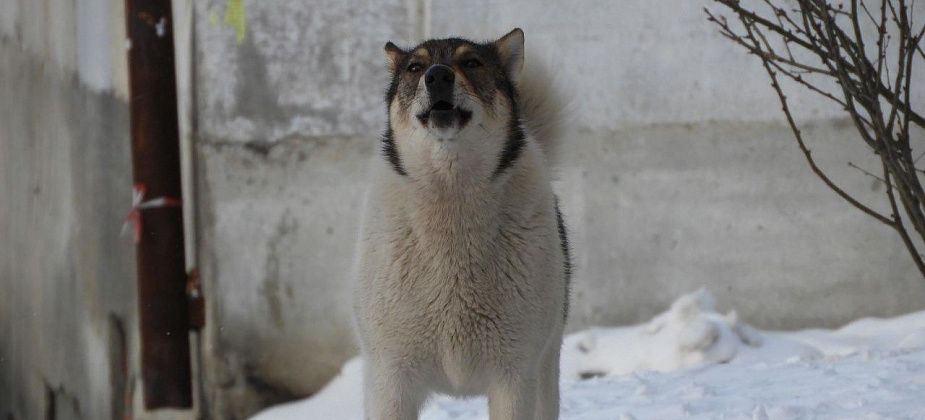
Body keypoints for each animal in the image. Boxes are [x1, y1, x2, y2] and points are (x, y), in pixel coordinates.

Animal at [354, 27, 572, 418]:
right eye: (415, 67)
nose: (438, 75)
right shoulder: (390, 381)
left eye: (471, 62)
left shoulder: (514, 377)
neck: (451, 196)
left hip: (546, 375)